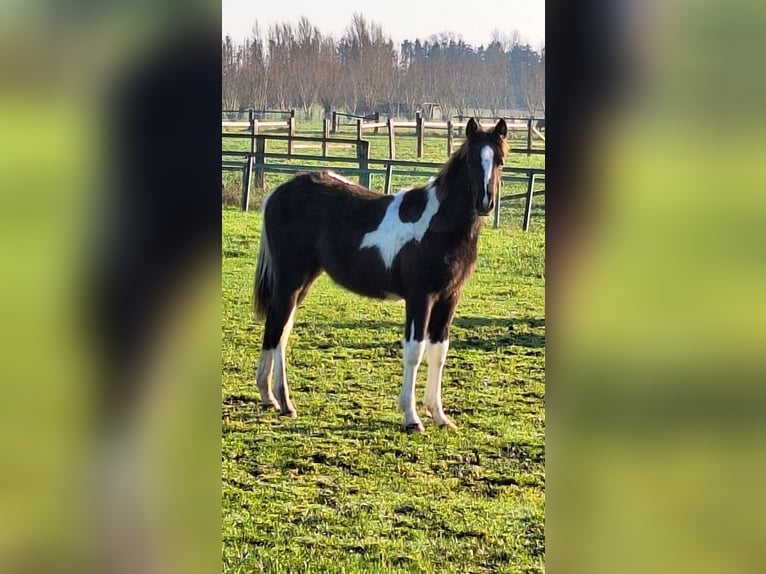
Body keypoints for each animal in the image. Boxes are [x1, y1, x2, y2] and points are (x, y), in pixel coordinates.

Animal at [254, 118, 510, 432]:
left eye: (499, 160)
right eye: (473, 159)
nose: (485, 202)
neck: (439, 225)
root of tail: (275, 195)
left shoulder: (449, 298)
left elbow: (439, 352)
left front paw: (438, 415)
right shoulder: (420, 297)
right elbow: (415, 351)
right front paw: (411, 417)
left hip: (303, 281)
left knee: (280, 329)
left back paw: (272, 398)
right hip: (290, 280)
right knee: (278, 327)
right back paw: (281, 401)